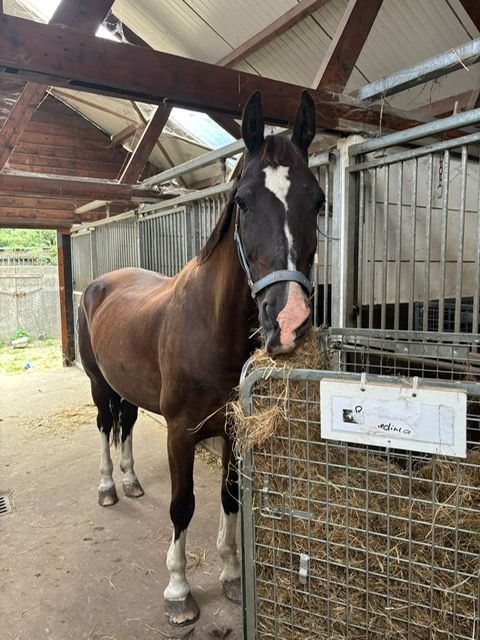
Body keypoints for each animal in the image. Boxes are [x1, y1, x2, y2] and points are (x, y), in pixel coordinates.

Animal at [78, 90, 324, 626]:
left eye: (318, 201)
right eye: (243, 201)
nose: (289, 321)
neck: (209, 328)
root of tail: (101, 284)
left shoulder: (234, 429)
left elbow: (229, 497)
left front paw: (232, 576)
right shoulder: (180, 432)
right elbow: (182, 505)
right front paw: (179, 591)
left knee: (127, 423)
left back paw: (131, 481)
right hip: (98, 384)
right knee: (106, 426)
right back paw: (107, 487)